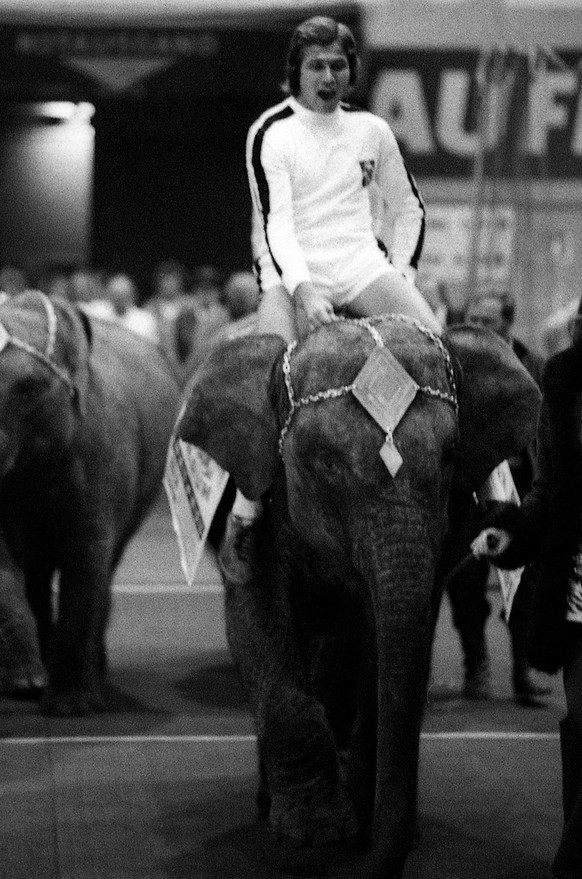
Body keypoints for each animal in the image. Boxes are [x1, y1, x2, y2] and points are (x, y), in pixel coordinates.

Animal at [0, 292, 181, 720]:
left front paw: (70, 708)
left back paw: (94, 672)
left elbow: (87, 554)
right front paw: (23, 686)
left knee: (107, 563)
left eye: (28, 391)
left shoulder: (101, 454)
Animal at [177, 316, 544, 879]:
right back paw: (274, 804)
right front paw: (314, 833)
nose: (369, 859)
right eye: (326, 462)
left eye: (450, 458)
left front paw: (369, 826)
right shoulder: (261, 495)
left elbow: (388, 651)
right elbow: (255, 619)